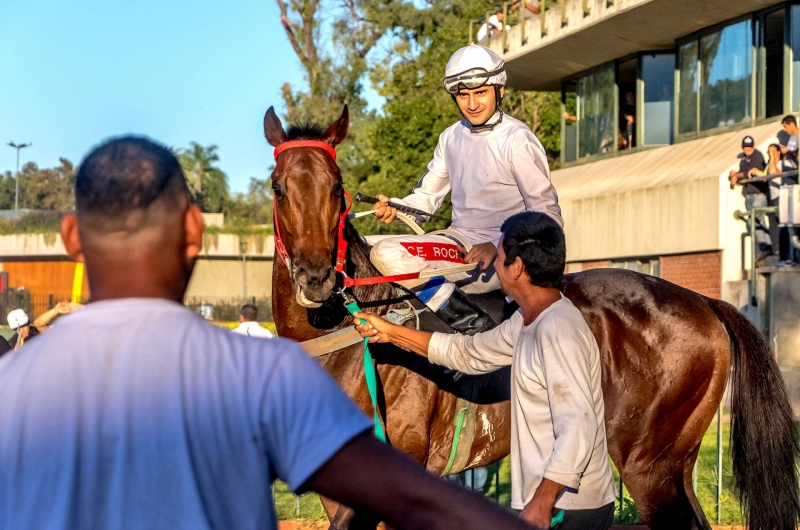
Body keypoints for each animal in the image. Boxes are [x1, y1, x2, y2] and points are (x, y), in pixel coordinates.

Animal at [264, 105, 800, 528]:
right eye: (278, 188)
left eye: (337, 187)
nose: (316, 277)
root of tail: (703, 301)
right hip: (677, 462)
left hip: (649, 464)